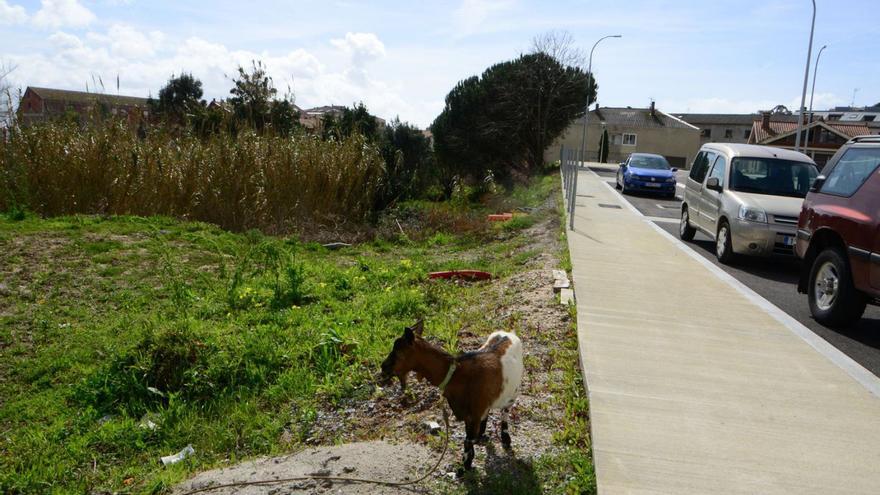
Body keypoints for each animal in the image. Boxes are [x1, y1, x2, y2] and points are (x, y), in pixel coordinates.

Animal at [378, 322, 524, 472]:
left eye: (398, 351)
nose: (383, 367)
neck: (457, 375)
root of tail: (508, 334)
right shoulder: (469, 413)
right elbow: (468, 438)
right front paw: (468, 461)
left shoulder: (475, 412)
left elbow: (467, 440)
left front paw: (464, 467)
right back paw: (482, 435)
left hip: (513, 392)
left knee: (505, 412)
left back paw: (505, 439)